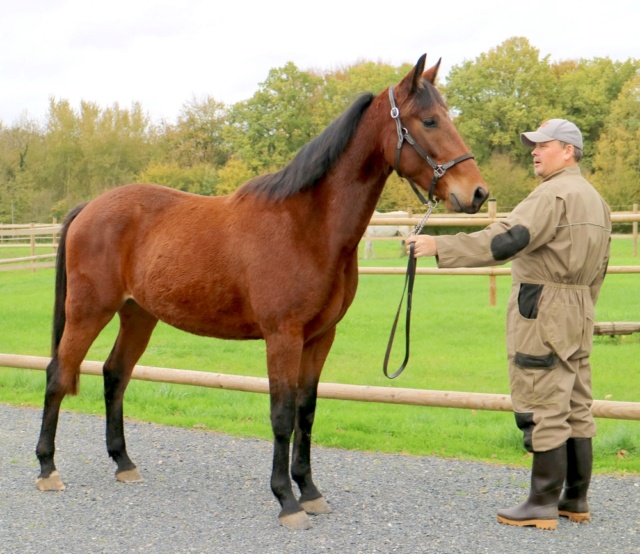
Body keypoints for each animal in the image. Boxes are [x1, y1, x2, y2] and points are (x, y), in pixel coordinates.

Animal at [37, 54, 488, 528]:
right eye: (429, 120)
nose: (476, 192)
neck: (306, 226)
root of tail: (89, 207)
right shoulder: (282, 336)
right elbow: (282, 414)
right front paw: (287, 500)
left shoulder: (320, 337)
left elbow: (307, 410)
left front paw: (310, 490)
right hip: (89, 311)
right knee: (57, 373)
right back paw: (47, 468)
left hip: (138, 315)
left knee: (114, 374)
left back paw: (124, 463)